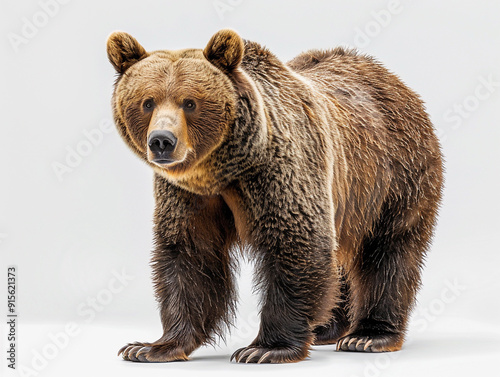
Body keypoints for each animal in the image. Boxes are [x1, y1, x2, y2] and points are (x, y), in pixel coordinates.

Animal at [107, 27, 444, 362]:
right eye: (147, 102)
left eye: (189, 102)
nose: (162, 141)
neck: (224, 169)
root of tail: (393, 80)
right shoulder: (187, 195)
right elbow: (189, 254)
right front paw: (150, 347)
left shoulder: (280, 171)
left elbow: (297, 242)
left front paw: (264, 348)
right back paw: (328, 328)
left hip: (394, 175)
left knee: (389, 250)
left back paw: (368, 336)